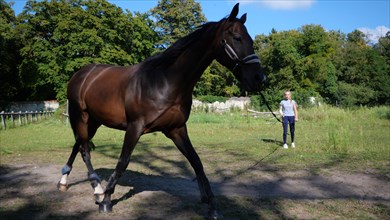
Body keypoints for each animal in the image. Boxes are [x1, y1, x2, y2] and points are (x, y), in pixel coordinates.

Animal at [57, 3, 266, 220]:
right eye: (237, 38)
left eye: (251, 39)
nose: (260, 78)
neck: (164, 81)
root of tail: (80, 75)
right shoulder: (135, 127)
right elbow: (123, 161)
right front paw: (107, 201)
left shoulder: (177, 129)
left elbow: (196, 162)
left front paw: (213, 206)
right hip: (80, 117)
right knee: (84, 149)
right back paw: (97, 190)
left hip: (94, 121)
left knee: (79, 145)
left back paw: (66, 181)